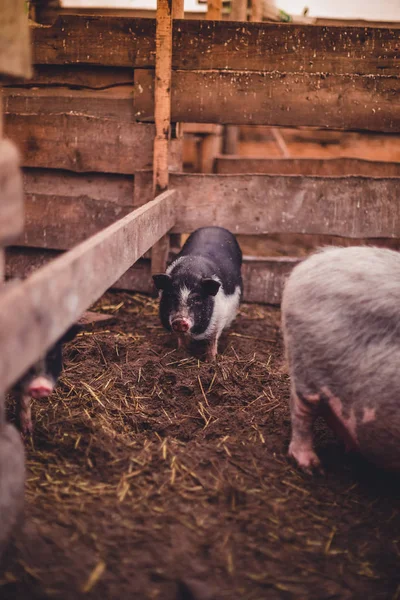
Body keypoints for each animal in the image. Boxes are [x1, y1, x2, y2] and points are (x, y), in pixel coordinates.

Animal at [152, 226, 242, 360]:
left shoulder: (219, 317)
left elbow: (212, 339)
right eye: (171, 296)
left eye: (197, 299)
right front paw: (181, 351)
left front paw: (211, 360)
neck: (190, 272)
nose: (180, 320)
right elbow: (181, 337)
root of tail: (215, 227)